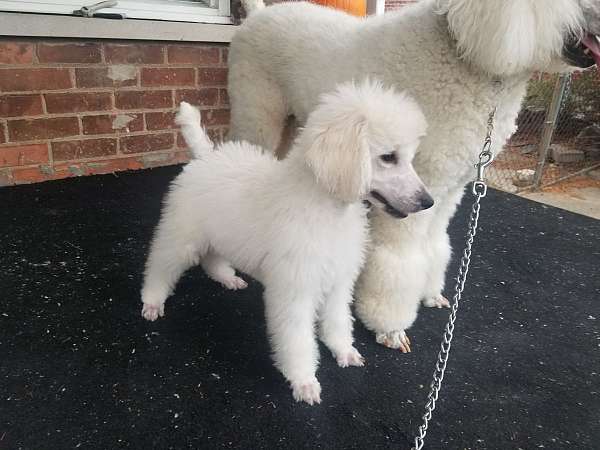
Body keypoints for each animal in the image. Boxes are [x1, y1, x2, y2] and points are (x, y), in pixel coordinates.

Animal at [139, 80, 432, 404]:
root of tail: (206, 155)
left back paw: (228, 279)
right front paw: (304, 381)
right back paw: (152, 301)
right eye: (389, 157)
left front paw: (343, 351)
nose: (427, 202)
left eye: (409, 156)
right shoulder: (295, 291)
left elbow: (337, 321)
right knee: (160, 266)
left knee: (212, 259)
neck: (326, 209)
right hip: (182, 236)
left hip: (217, 233)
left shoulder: (338, 282)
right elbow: (297, 339)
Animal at [226, 0, 600, 350]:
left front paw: (429, 293)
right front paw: (389, 326)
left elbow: (434, 243)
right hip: (258, 112)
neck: (463, 53)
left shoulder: (448, 187)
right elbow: (398, 257)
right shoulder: (413, 187)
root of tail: (258, 15)